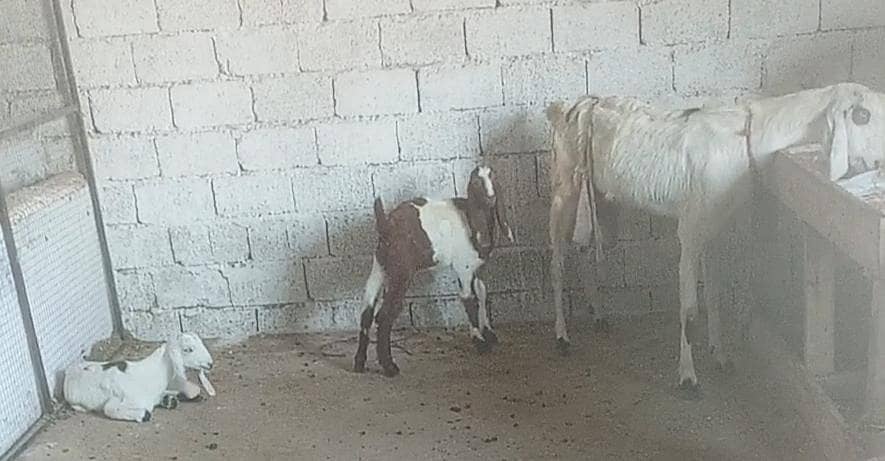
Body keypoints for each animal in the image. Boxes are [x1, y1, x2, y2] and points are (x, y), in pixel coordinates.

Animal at [63, 332, 215, 422]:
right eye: (188, 349)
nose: (210, 364)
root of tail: (68, 373)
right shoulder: (120, 399)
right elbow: (110, 409)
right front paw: (143, 414)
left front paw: (174, 398)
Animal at [353, 165, 514, 377]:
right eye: (476, 182)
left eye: (493, 178)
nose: (491, 198)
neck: (471, 219)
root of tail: (386, 224)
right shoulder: (463, 266)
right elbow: (469, 299)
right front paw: (479, 341)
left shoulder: (478, 268)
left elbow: (482, 294)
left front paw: (488, 332)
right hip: (401, 271)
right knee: (385, 314)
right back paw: (389, 367)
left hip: (380, 266)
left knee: (367, 310)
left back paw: (359, 363)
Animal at [546, 82, 885, 396]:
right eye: (862, 115)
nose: (880, 163)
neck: (747, 136)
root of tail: (569, 106)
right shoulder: (690, 229)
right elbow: (690, 310)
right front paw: (688, 378)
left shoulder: (715, 226)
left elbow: (714, 295)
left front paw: (721, 356)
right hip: (564, 188)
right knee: (557, 258)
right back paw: (562, 336)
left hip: (598, 197)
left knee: (582, 248)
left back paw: (598, 315)